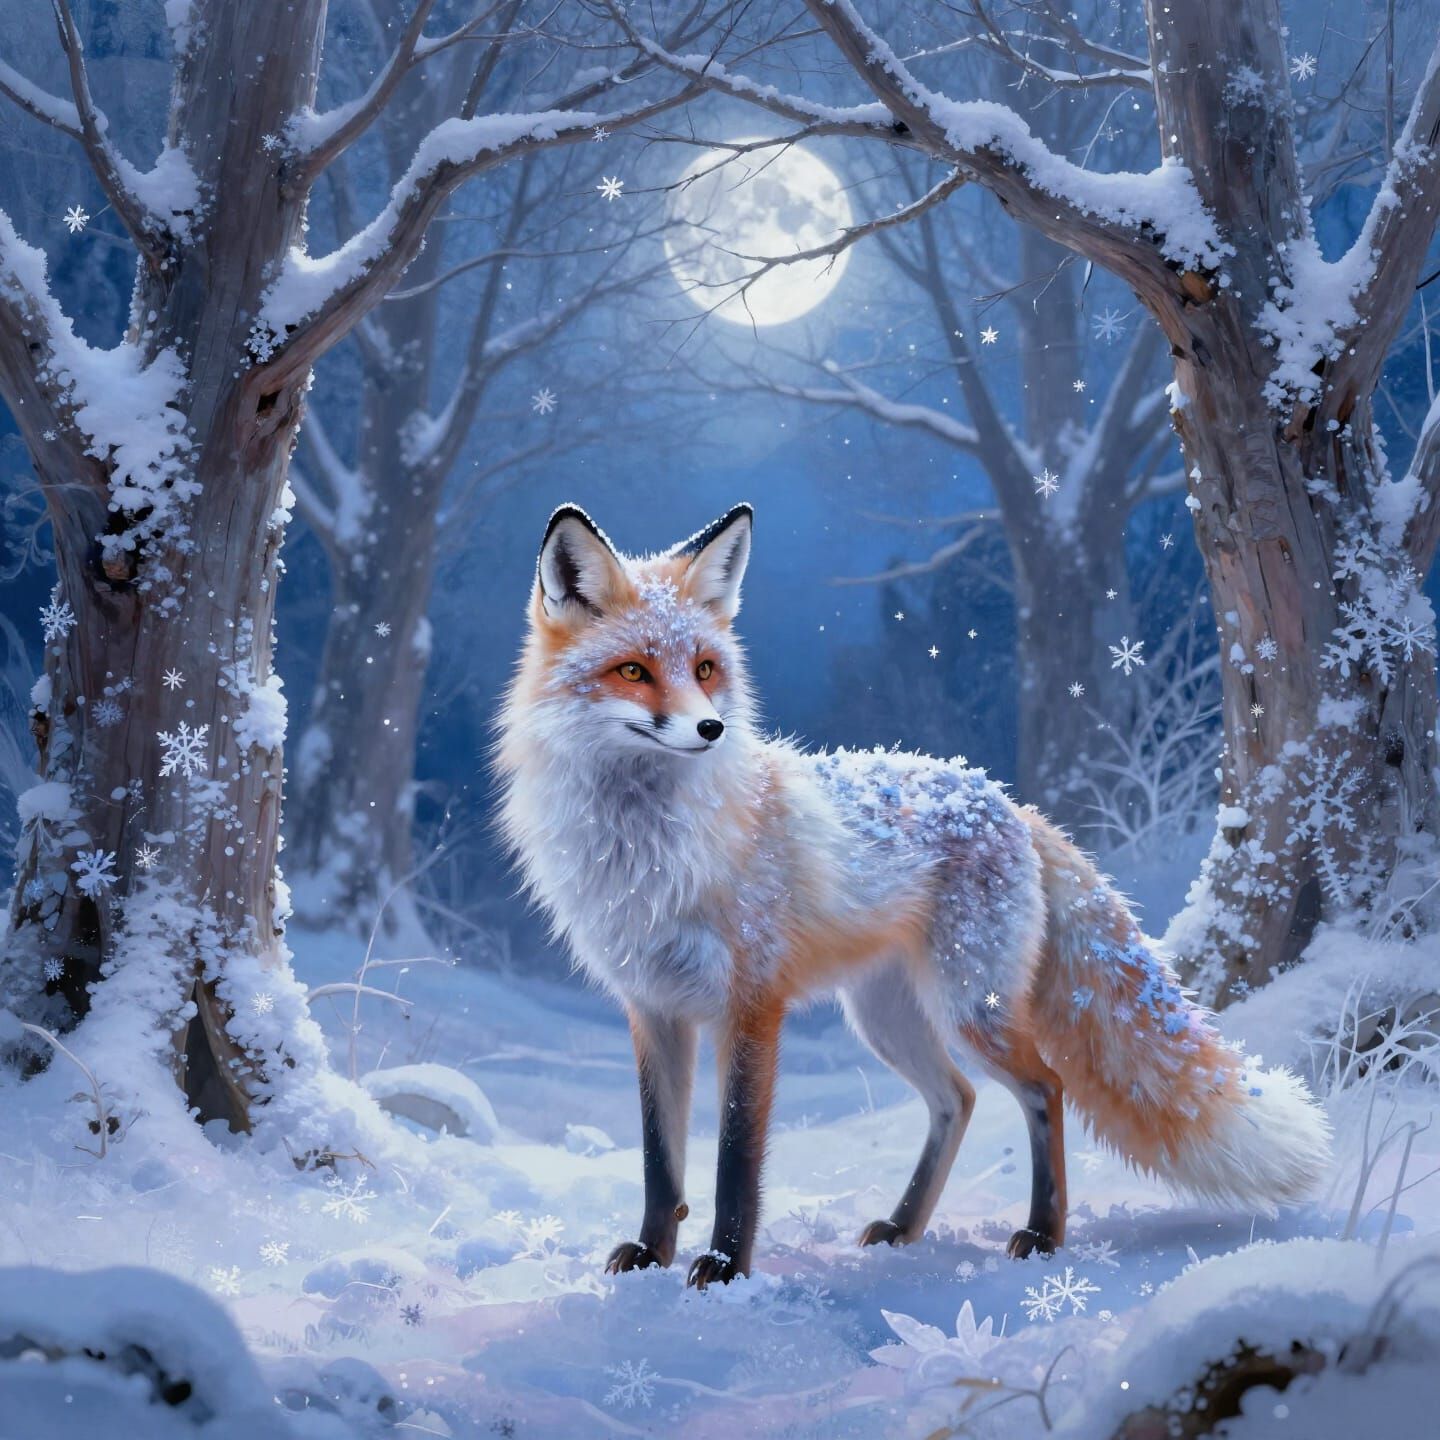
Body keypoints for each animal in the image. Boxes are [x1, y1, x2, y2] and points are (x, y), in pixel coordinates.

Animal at [497, 502, 1332, 1289]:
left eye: (704, 668)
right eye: (634, 672)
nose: (710, 728)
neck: (650, 854)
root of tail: (1004, 799)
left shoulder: (751, 1005)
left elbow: (735, 1159)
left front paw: (727, 1267)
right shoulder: (653, 1010)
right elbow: (659, 1158)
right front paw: (652, 1253)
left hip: (969, 1007)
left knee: (1045, 1086)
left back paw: (1043, 1233)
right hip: (886, 1018)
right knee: (957, 1099)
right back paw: (905, 1225)